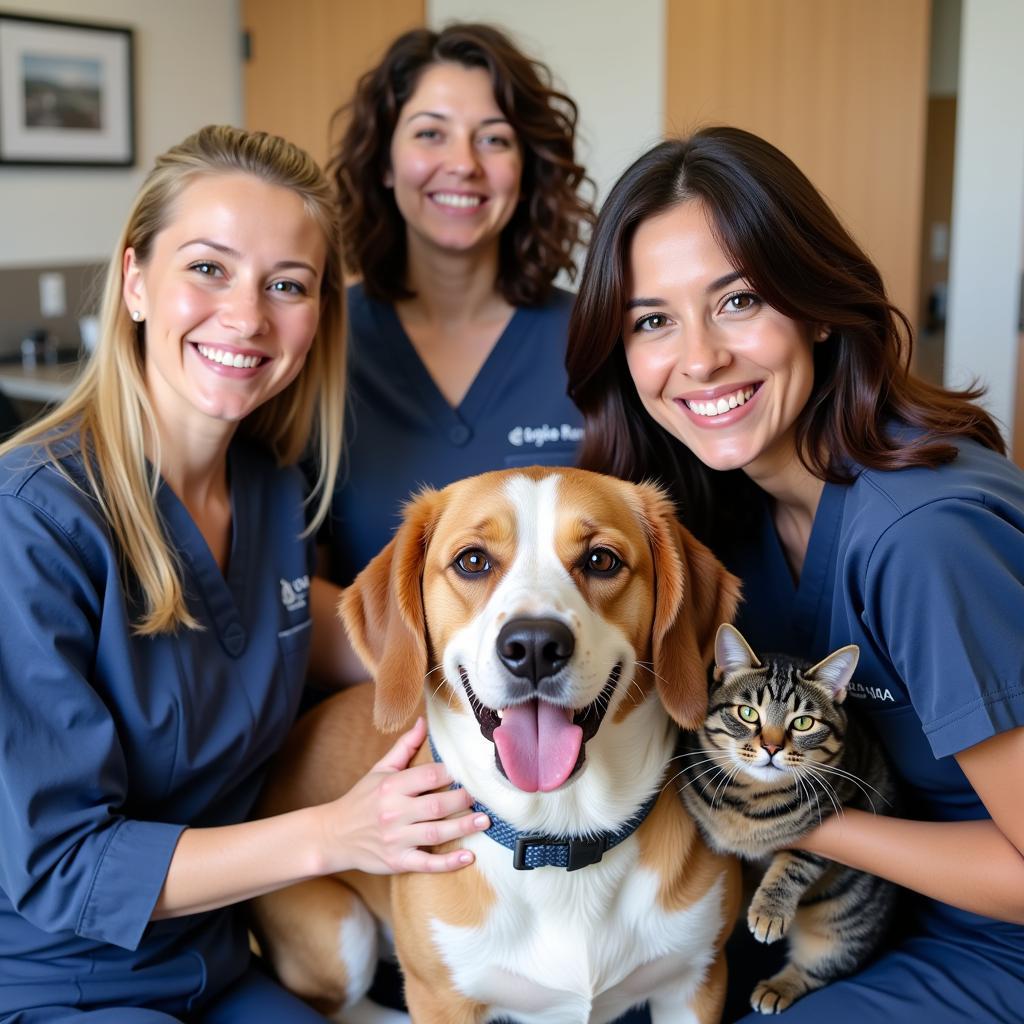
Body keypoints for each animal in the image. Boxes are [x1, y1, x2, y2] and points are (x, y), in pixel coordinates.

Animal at [251, 468, 741, 1019]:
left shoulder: (696, 982)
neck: (559, 835)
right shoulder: (440, 1000)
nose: (534, 645)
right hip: (341, 932)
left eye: (601, 560)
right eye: (473, 561)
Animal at [679, 618, 897, 1011]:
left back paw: (778, 987)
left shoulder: (838, 812)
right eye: (748, 714)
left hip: (844, 920)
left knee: (822, 965)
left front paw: (769, 910)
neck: (752, 799)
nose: (771, 746)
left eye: (804, 723)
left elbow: (798, 861)